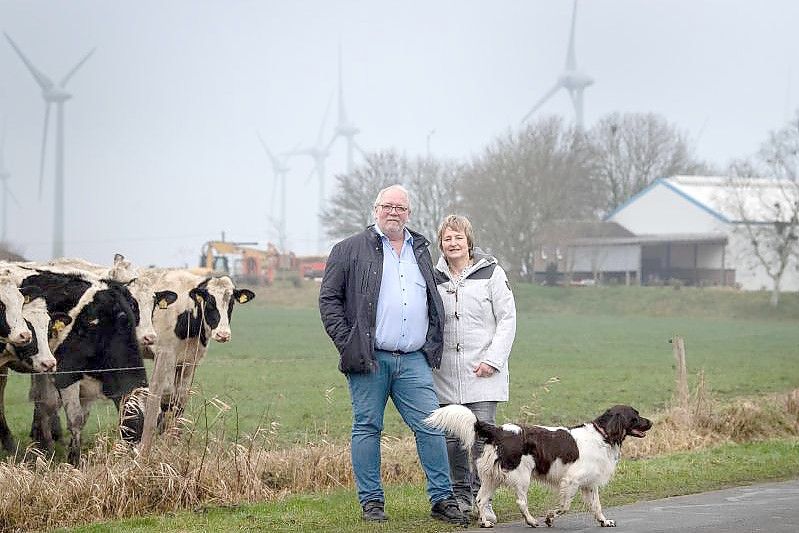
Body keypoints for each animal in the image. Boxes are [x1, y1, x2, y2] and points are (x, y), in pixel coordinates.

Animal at [424, 406, 648, 524]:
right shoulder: (571, 480)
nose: (651, 423)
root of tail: (498, 430)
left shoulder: (589, 483)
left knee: (480, 499)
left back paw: (486, 522)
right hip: (521, 475)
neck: (602, 436)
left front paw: (604, 521)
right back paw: (531, 521)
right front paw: (550, 517)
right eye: (635, 416)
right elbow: (565, 506)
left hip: (491, 477)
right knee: (521, 501)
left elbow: (597, 505)